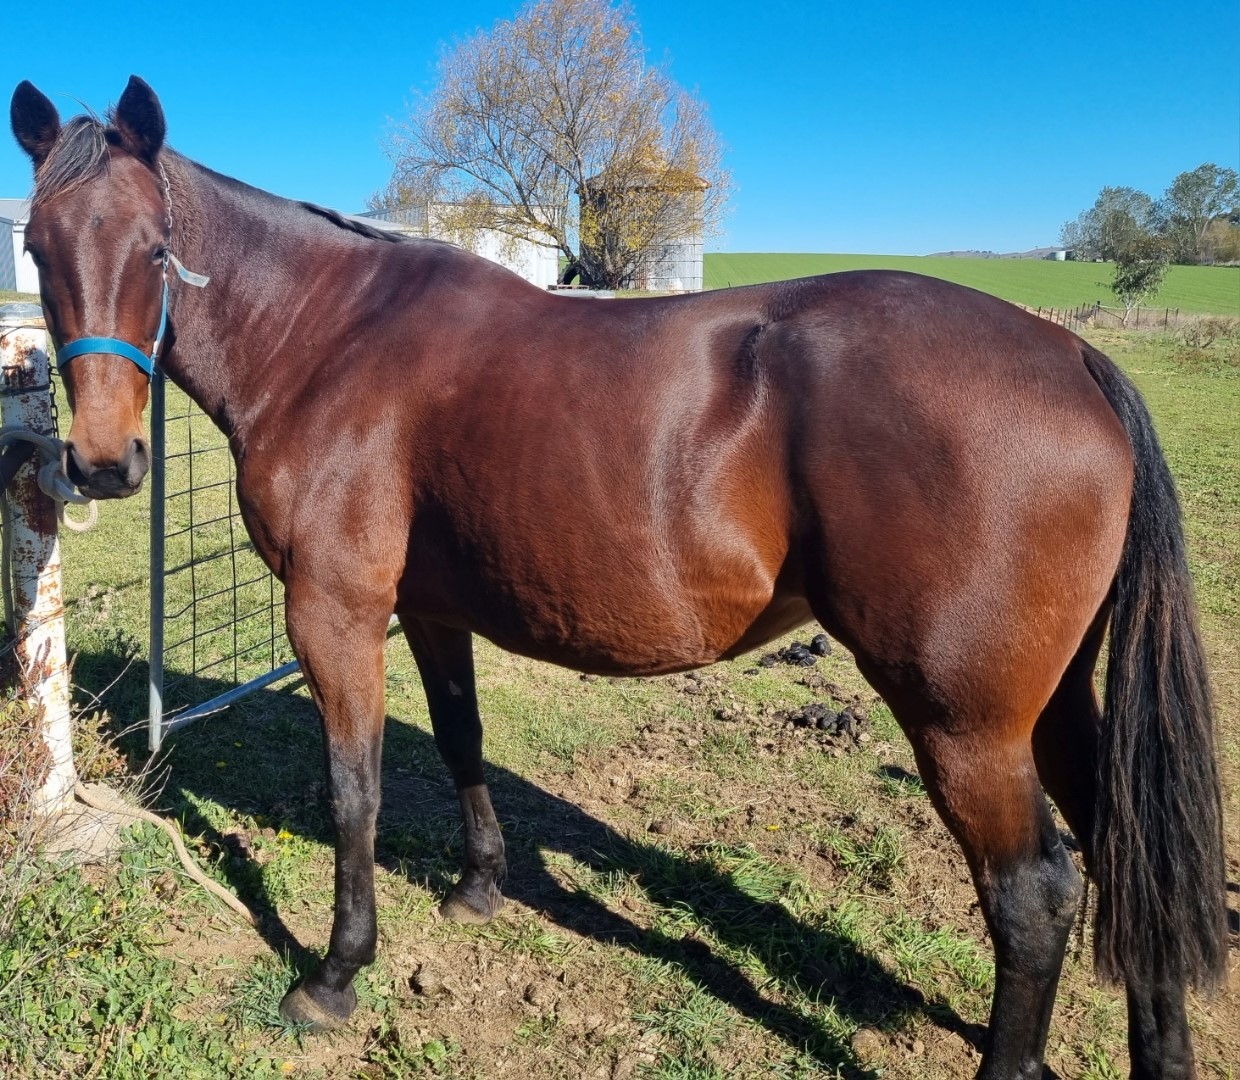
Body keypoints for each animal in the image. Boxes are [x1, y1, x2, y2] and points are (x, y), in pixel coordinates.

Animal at [10, 77, 1226, 1079]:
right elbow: (460, 740)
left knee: (1033, 895)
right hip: (1052, 704)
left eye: (156, 249)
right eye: (38, 250)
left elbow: (354, 790)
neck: (333, 339)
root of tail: (1071, 356)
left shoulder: (336, 613)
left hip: (964, 722)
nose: (104, 463)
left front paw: (335, 974)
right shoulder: (430, 611)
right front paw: (480, 887)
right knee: (1125, 852)